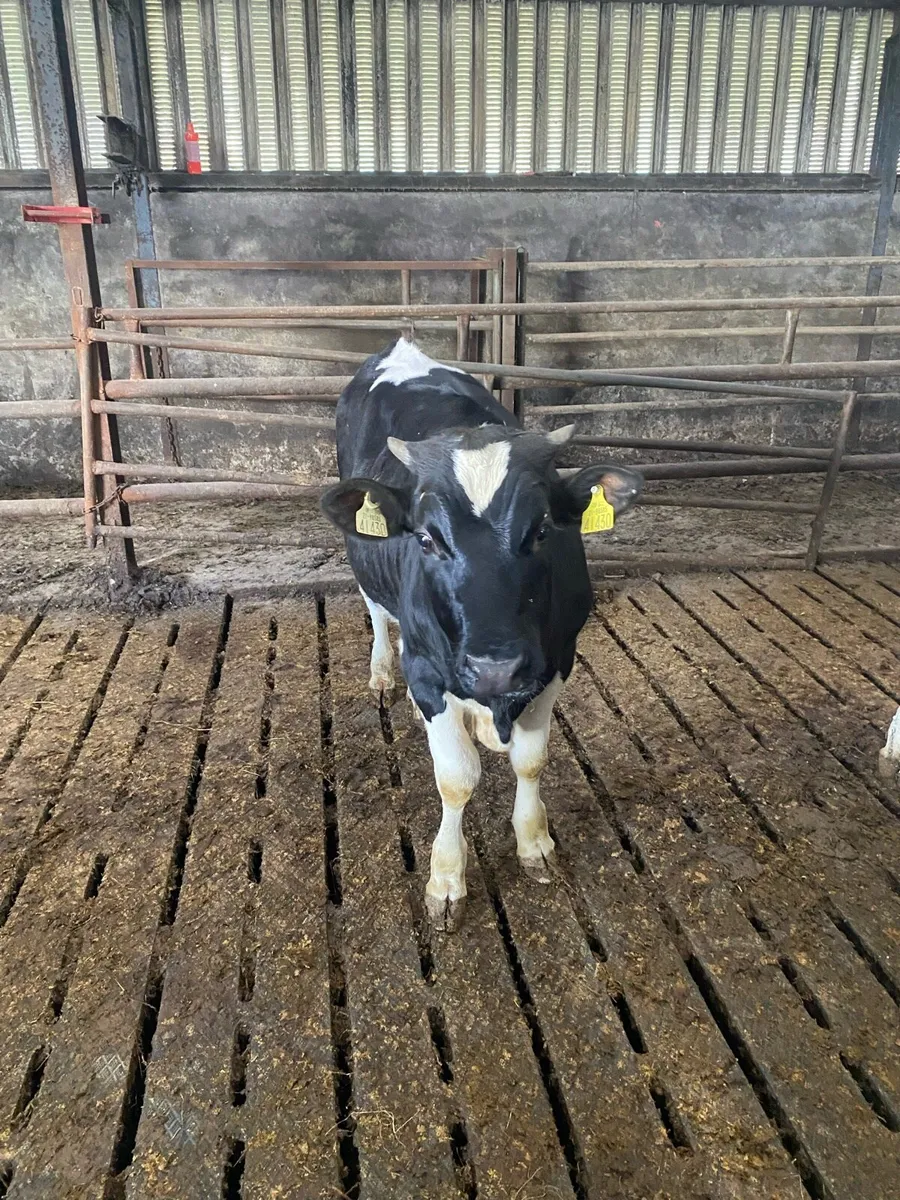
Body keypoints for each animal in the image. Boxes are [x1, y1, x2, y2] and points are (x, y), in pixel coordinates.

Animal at [320, 337, 642, 931]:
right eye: (426, 539)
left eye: (543, 530)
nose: (495, 668)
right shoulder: (429, 674)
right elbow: (457, 778)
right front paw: (446, 878)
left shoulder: (557, 661)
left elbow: (531, 760)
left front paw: (535, 842)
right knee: (377, 613)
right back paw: (382, 672)